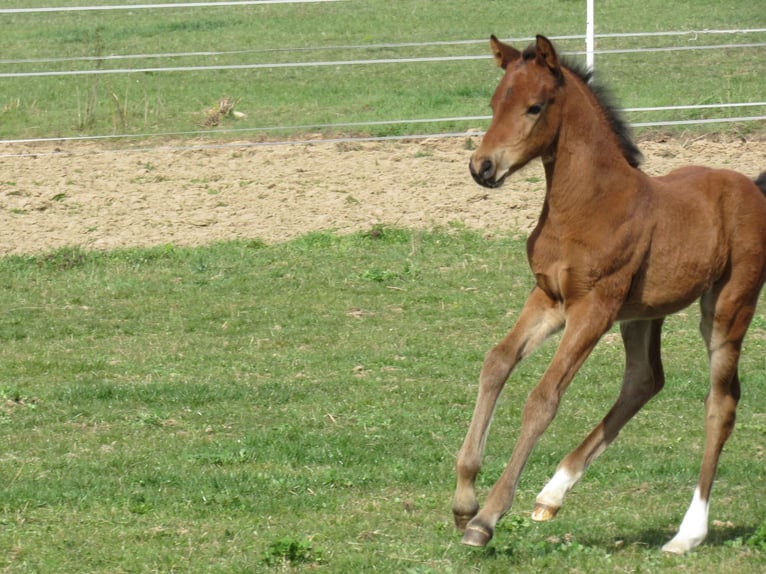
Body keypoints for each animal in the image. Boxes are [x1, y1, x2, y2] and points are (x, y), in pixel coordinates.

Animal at [452, 34, 766, 554]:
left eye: (535, 107)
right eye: (495, 104)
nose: (483, 167)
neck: (586, 205)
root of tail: (754, 188)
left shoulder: (593, 308)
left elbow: (543, 397)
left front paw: (487, 517)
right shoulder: (549, 299)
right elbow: (496, 363)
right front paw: (463, 501)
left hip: (727, 307)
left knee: (720, 404)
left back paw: (688, 533)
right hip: (642, 314)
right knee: (644, 380)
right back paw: (551, 494)